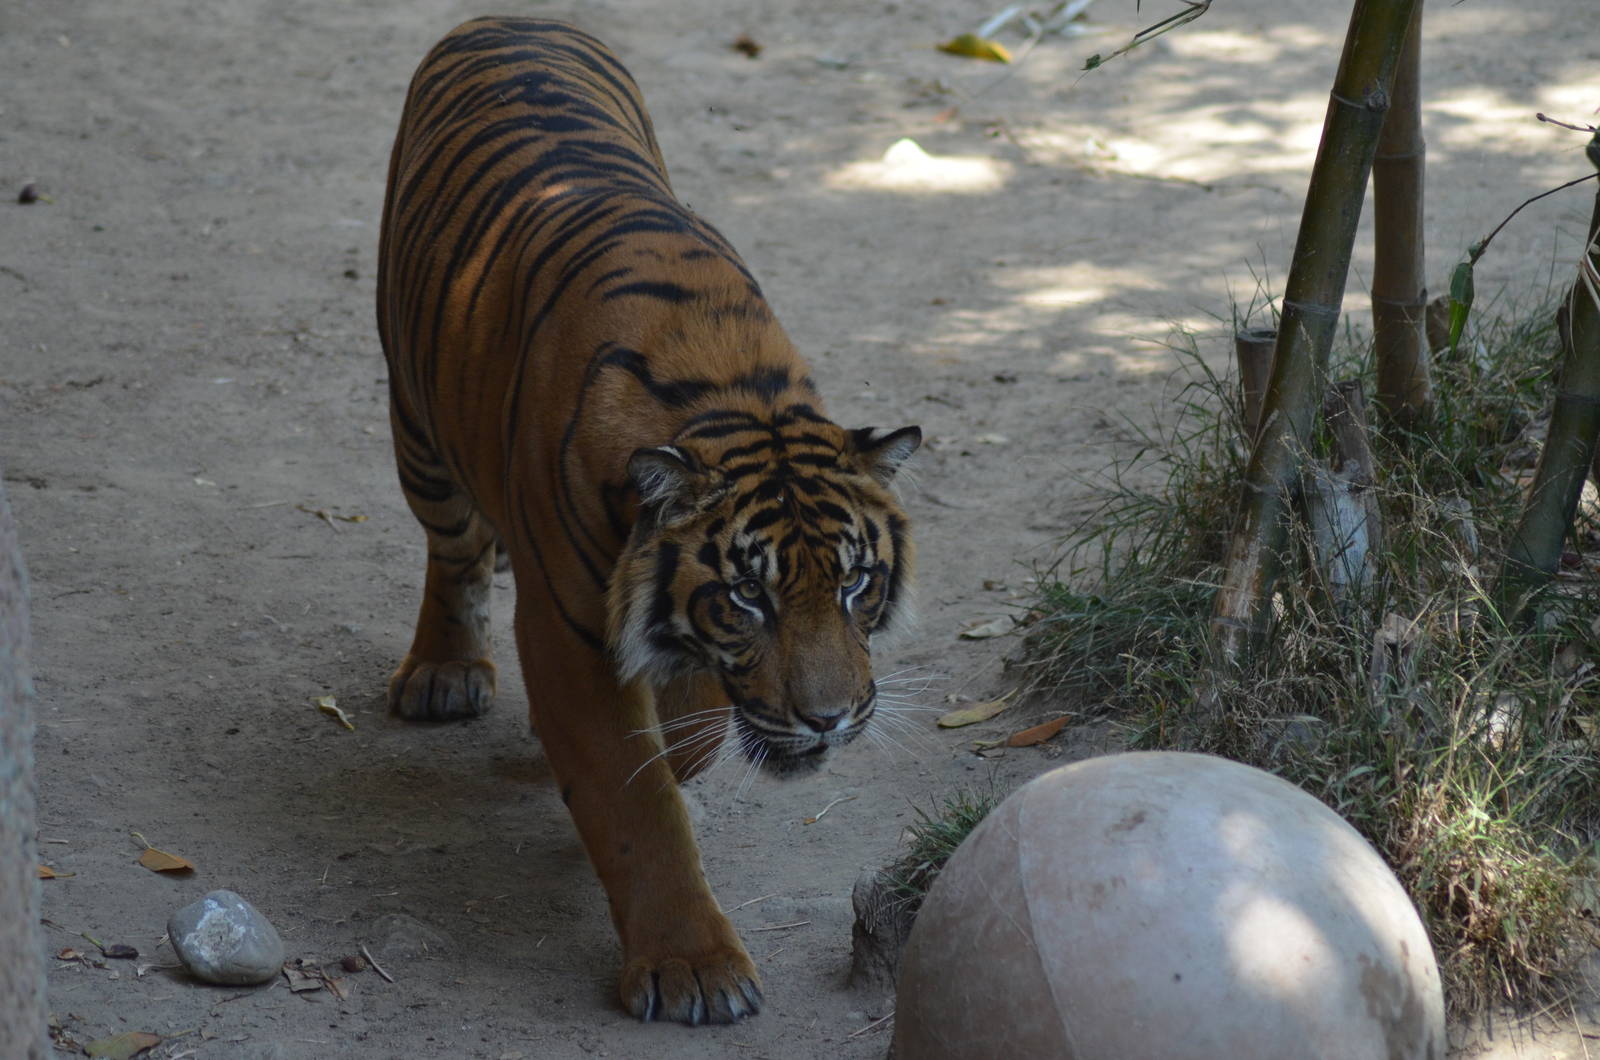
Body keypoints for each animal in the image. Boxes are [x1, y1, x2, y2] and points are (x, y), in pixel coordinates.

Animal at [375, 17, 920, 1026]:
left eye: (857, 584)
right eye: (748, 599)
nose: (830, 721)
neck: (729, 394)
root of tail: (505, 19)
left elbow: (689, 732)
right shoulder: (568, 631)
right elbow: (636, 808)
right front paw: (694, 969)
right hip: (419, 428)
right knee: (454, 549)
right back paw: (442, 671)